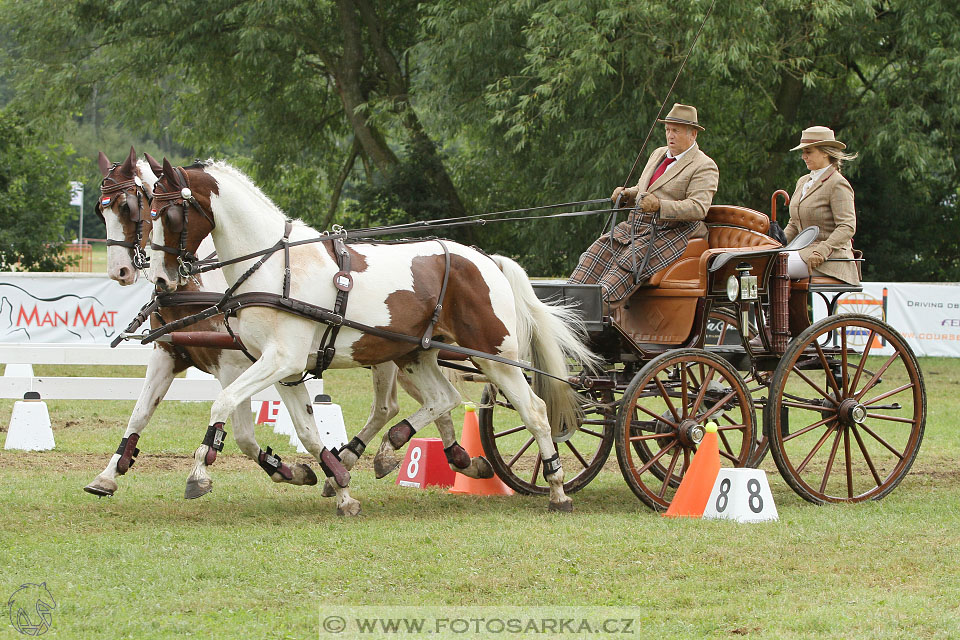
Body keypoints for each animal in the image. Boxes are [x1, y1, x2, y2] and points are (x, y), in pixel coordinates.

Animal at [146, 159, 596, 516]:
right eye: (147, 211)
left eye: (168, 215)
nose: (162, 281)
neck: (275, 266)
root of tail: (487, 260)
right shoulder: (286, 370)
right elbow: (308, 433)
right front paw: (340, 486)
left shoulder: (280, 360)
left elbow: (222, 401)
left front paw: (199, 473)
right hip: (416, 354)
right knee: (443, 399)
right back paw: (389, 447)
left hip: (492, 355)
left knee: (533, 411)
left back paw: (557, 490)